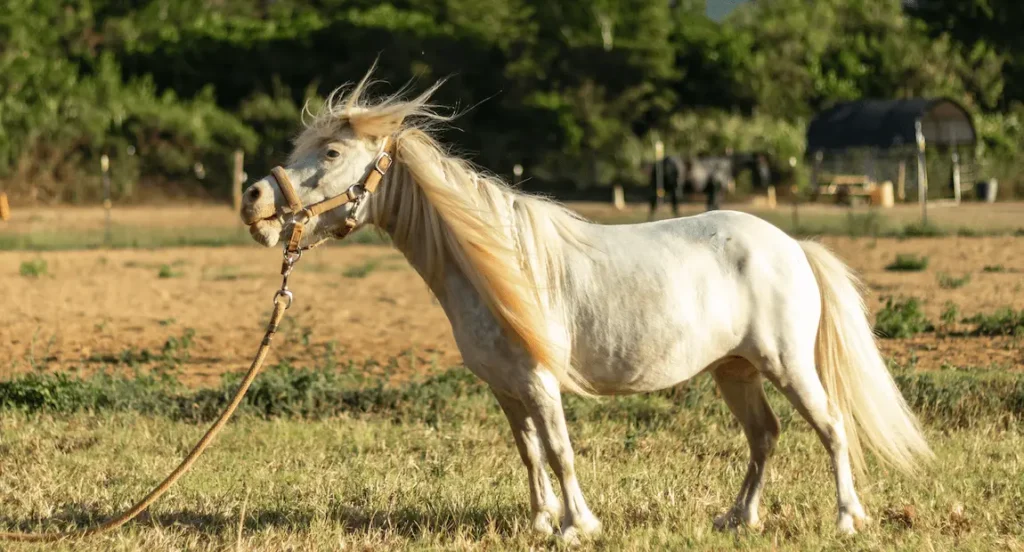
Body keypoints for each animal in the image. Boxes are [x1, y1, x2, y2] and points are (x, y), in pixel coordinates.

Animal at [239, 75, 929, 540]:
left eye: (331, 154)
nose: (254, 200)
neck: (497, 266)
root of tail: (792, 246)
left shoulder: (540, 382)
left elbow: (561, 449)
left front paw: (579, 526)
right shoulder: (507, 388)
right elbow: (530, 453)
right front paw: (542, 522)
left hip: (788, 366)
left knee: (832, 428)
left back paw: (847, 520)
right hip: (735, 372)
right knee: (764, 437)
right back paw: (738, 519)